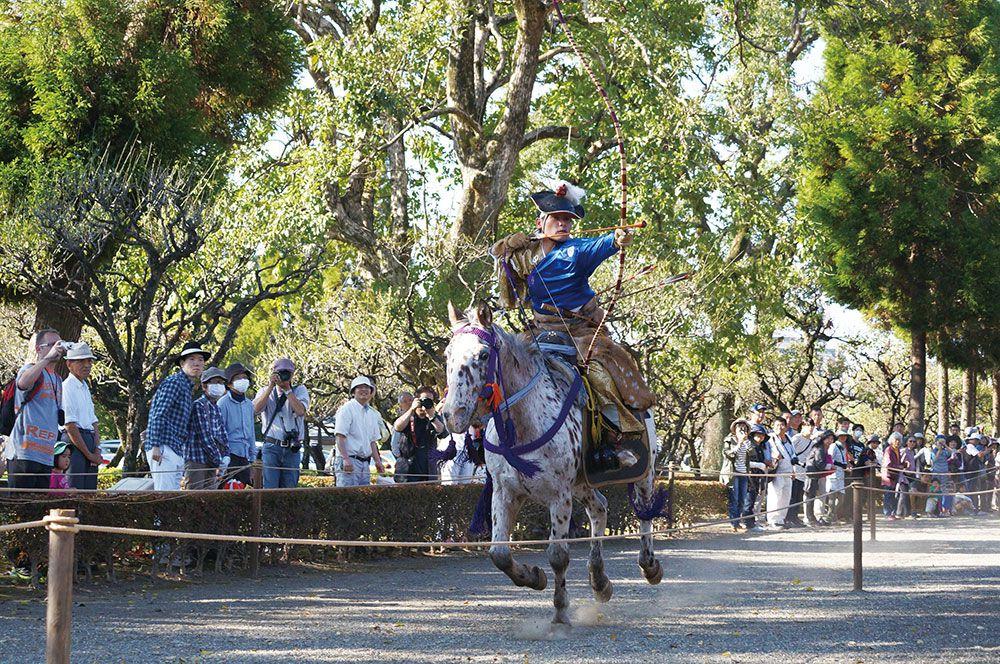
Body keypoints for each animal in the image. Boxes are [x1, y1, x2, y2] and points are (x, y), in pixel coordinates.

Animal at [444, 304, 664, 624]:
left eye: (483, 355)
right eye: (447, 354)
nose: (452, 414)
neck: (524, 424)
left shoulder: (559, 495)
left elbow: (558, 556)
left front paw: (560, 610)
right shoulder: (505, 491)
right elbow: (499, 554)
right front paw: (534, 577)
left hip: (644, 467)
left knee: (645, 511)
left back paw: (649, 565)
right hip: (583, 481)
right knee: (599, 508)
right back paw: (599, 581)